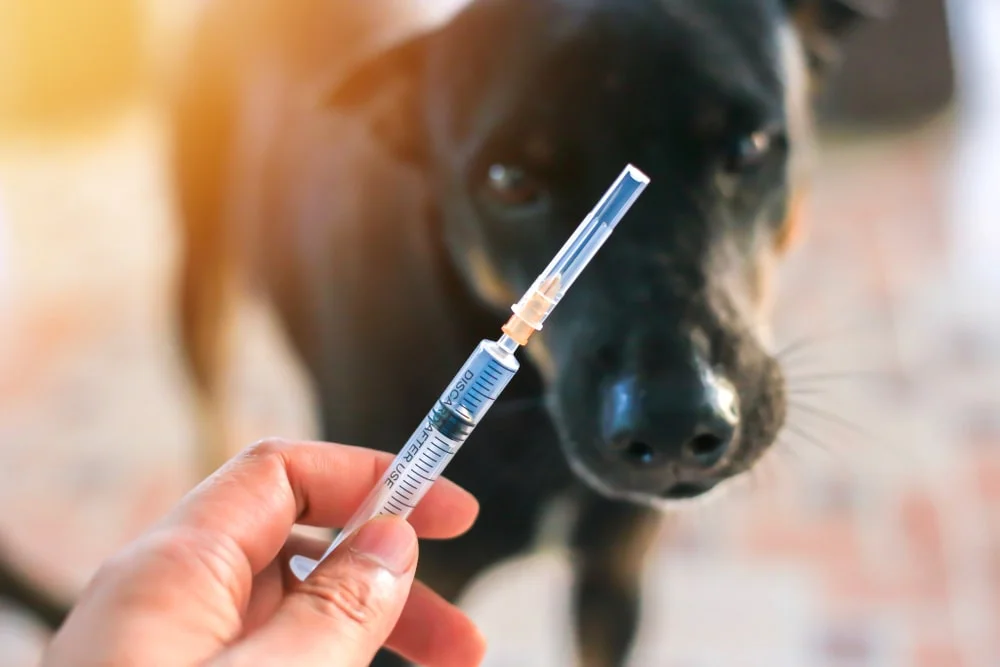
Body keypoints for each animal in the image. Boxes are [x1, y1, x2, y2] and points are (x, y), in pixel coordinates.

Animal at [0, 0, 884, 664]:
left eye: (750, 144)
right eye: (508, 178)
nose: (672, 424)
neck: (531, 411)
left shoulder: (614, 580)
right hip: (199, 268)